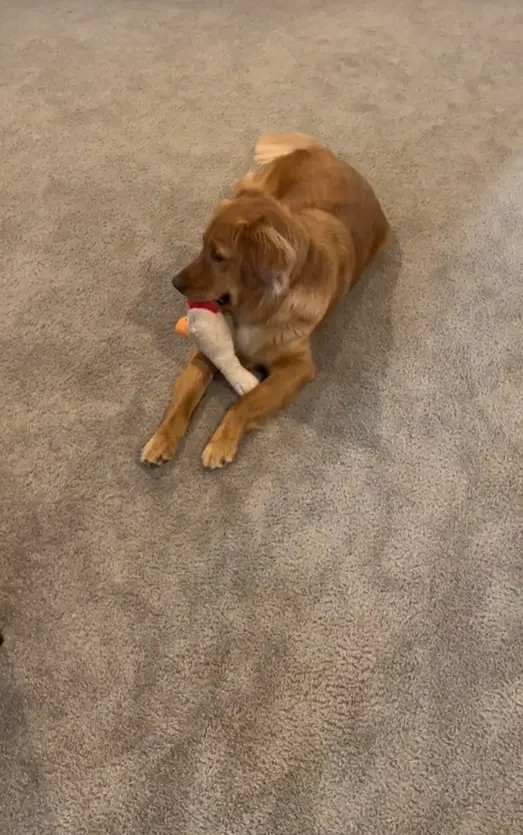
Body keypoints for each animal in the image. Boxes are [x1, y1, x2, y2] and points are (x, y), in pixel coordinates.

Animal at [141, 134, 390, 466]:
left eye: (218, 255)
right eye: (201, 245)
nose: (176, 283)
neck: (258, 307)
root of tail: (325, 152)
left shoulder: (298, 367)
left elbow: (247, 402)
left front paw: (221, 442)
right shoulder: (205, 351)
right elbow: (184, 397)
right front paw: (161, 438)